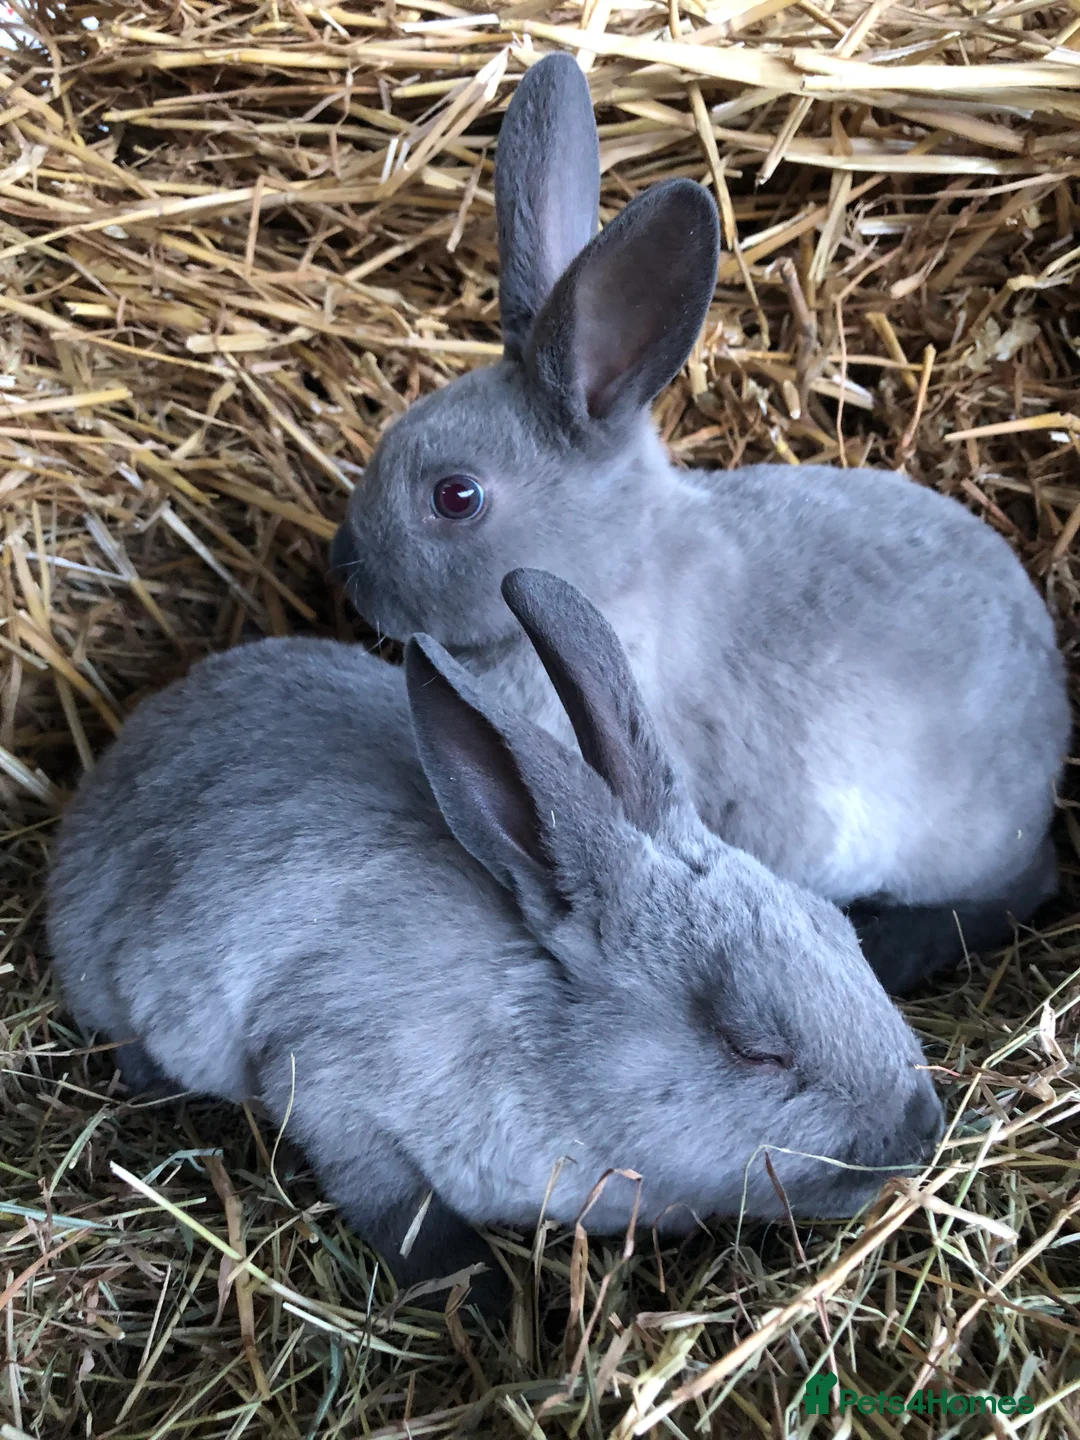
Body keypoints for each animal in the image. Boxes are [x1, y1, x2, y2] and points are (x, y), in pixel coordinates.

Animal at [48, 567, 943, 1312]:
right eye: (751, 1047)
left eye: (841, 929)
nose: (923, 1130)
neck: (543, 1041)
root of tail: (124, 757)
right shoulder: (332, 1088)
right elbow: (403, 1213)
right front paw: (482, 1300)